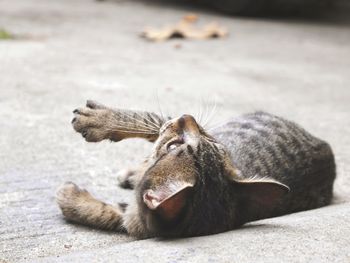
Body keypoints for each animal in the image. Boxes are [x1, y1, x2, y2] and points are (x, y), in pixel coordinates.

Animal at [57, 100, 336, 238]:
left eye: (173, 146)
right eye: (214, 143)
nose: (187, 117)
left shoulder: (140, 218)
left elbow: (109, 213)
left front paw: (70, 198)